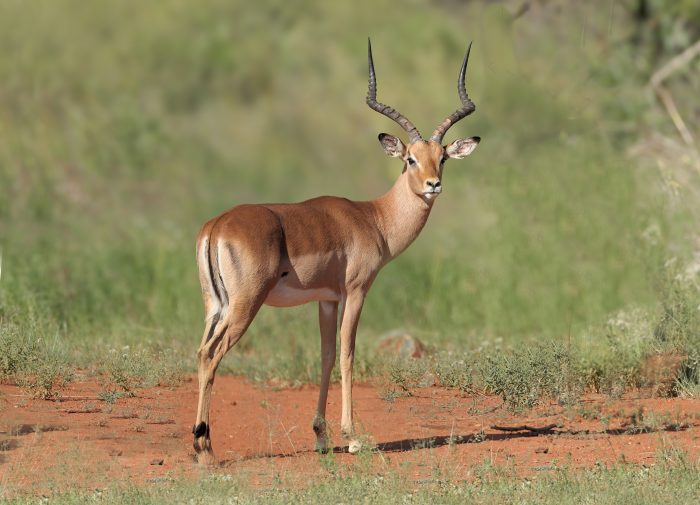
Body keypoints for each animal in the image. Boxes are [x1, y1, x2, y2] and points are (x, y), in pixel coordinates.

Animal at [193, 39, 480, 464]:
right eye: (410, 158)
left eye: (441, 157)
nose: (433, 185)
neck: (373, 218)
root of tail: (218, 225)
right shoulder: (356, 291)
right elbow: (348, 353)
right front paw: (353, 436)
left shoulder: (326, 299)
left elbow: (326, 355)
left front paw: (321, 436)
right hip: (244, 305)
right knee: (212, 355)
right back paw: (206, 449)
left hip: (215, 306)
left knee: (200, 353)